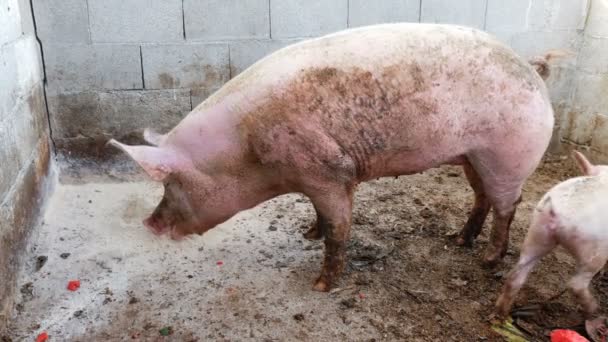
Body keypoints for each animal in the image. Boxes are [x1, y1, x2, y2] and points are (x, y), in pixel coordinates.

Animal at [108, 23, 556, 292]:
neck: (247, 153)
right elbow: (320, 216)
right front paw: (309, 234)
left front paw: (320, 285)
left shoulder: (331, 171)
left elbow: (340, 228)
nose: (148, 223)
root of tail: (532, 70)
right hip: (472, 156)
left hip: (507, 154)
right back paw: (458, 240)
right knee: (481, 198)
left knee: (508, 205)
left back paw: (487, 260)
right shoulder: (311, 180)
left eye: (170, 184)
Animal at [496, 152, 608, 318]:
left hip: (537, 231)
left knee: (516, 274)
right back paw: (595, 312)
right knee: (576, 284)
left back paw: (501, 311)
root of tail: (556, 209)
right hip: (594, 248)